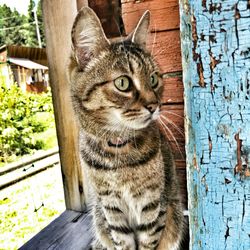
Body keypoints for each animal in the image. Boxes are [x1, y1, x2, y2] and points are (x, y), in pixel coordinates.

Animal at [68, 6, 184, 250]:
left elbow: (149, 240)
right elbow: (122, 241)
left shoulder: (153, 204)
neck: (118, 153)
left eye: (153, 79)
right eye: (123, 83)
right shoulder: (111, 206)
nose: (154, 106)